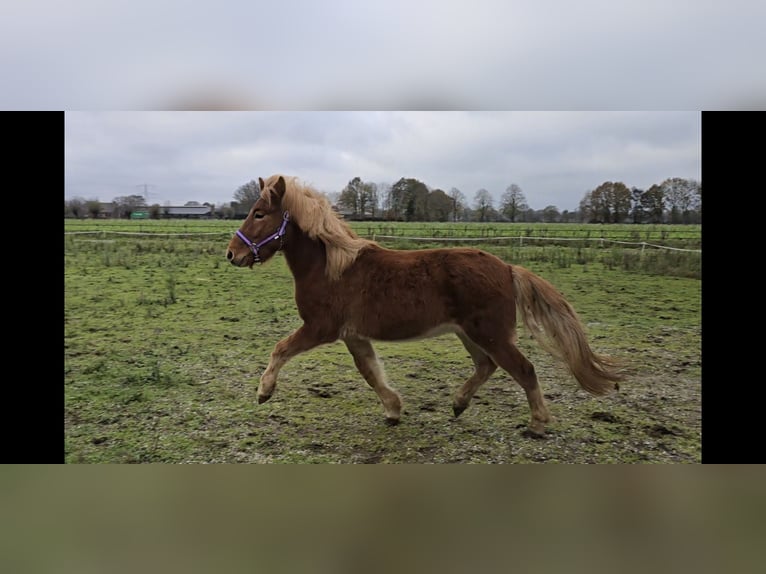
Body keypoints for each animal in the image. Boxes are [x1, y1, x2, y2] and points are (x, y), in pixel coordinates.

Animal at [226, 175, 623, 437]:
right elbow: (370, 372)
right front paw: (393, 410)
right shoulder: (354, 335)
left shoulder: (321, 328)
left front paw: (263, 392)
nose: (233, 254)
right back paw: (459, 403)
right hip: (470, 334)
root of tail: (507, 268)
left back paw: (538, 424)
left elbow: (280, 349)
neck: (332, 268)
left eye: (259, 213)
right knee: (486, 366)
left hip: (491, 334)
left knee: (523, 369)